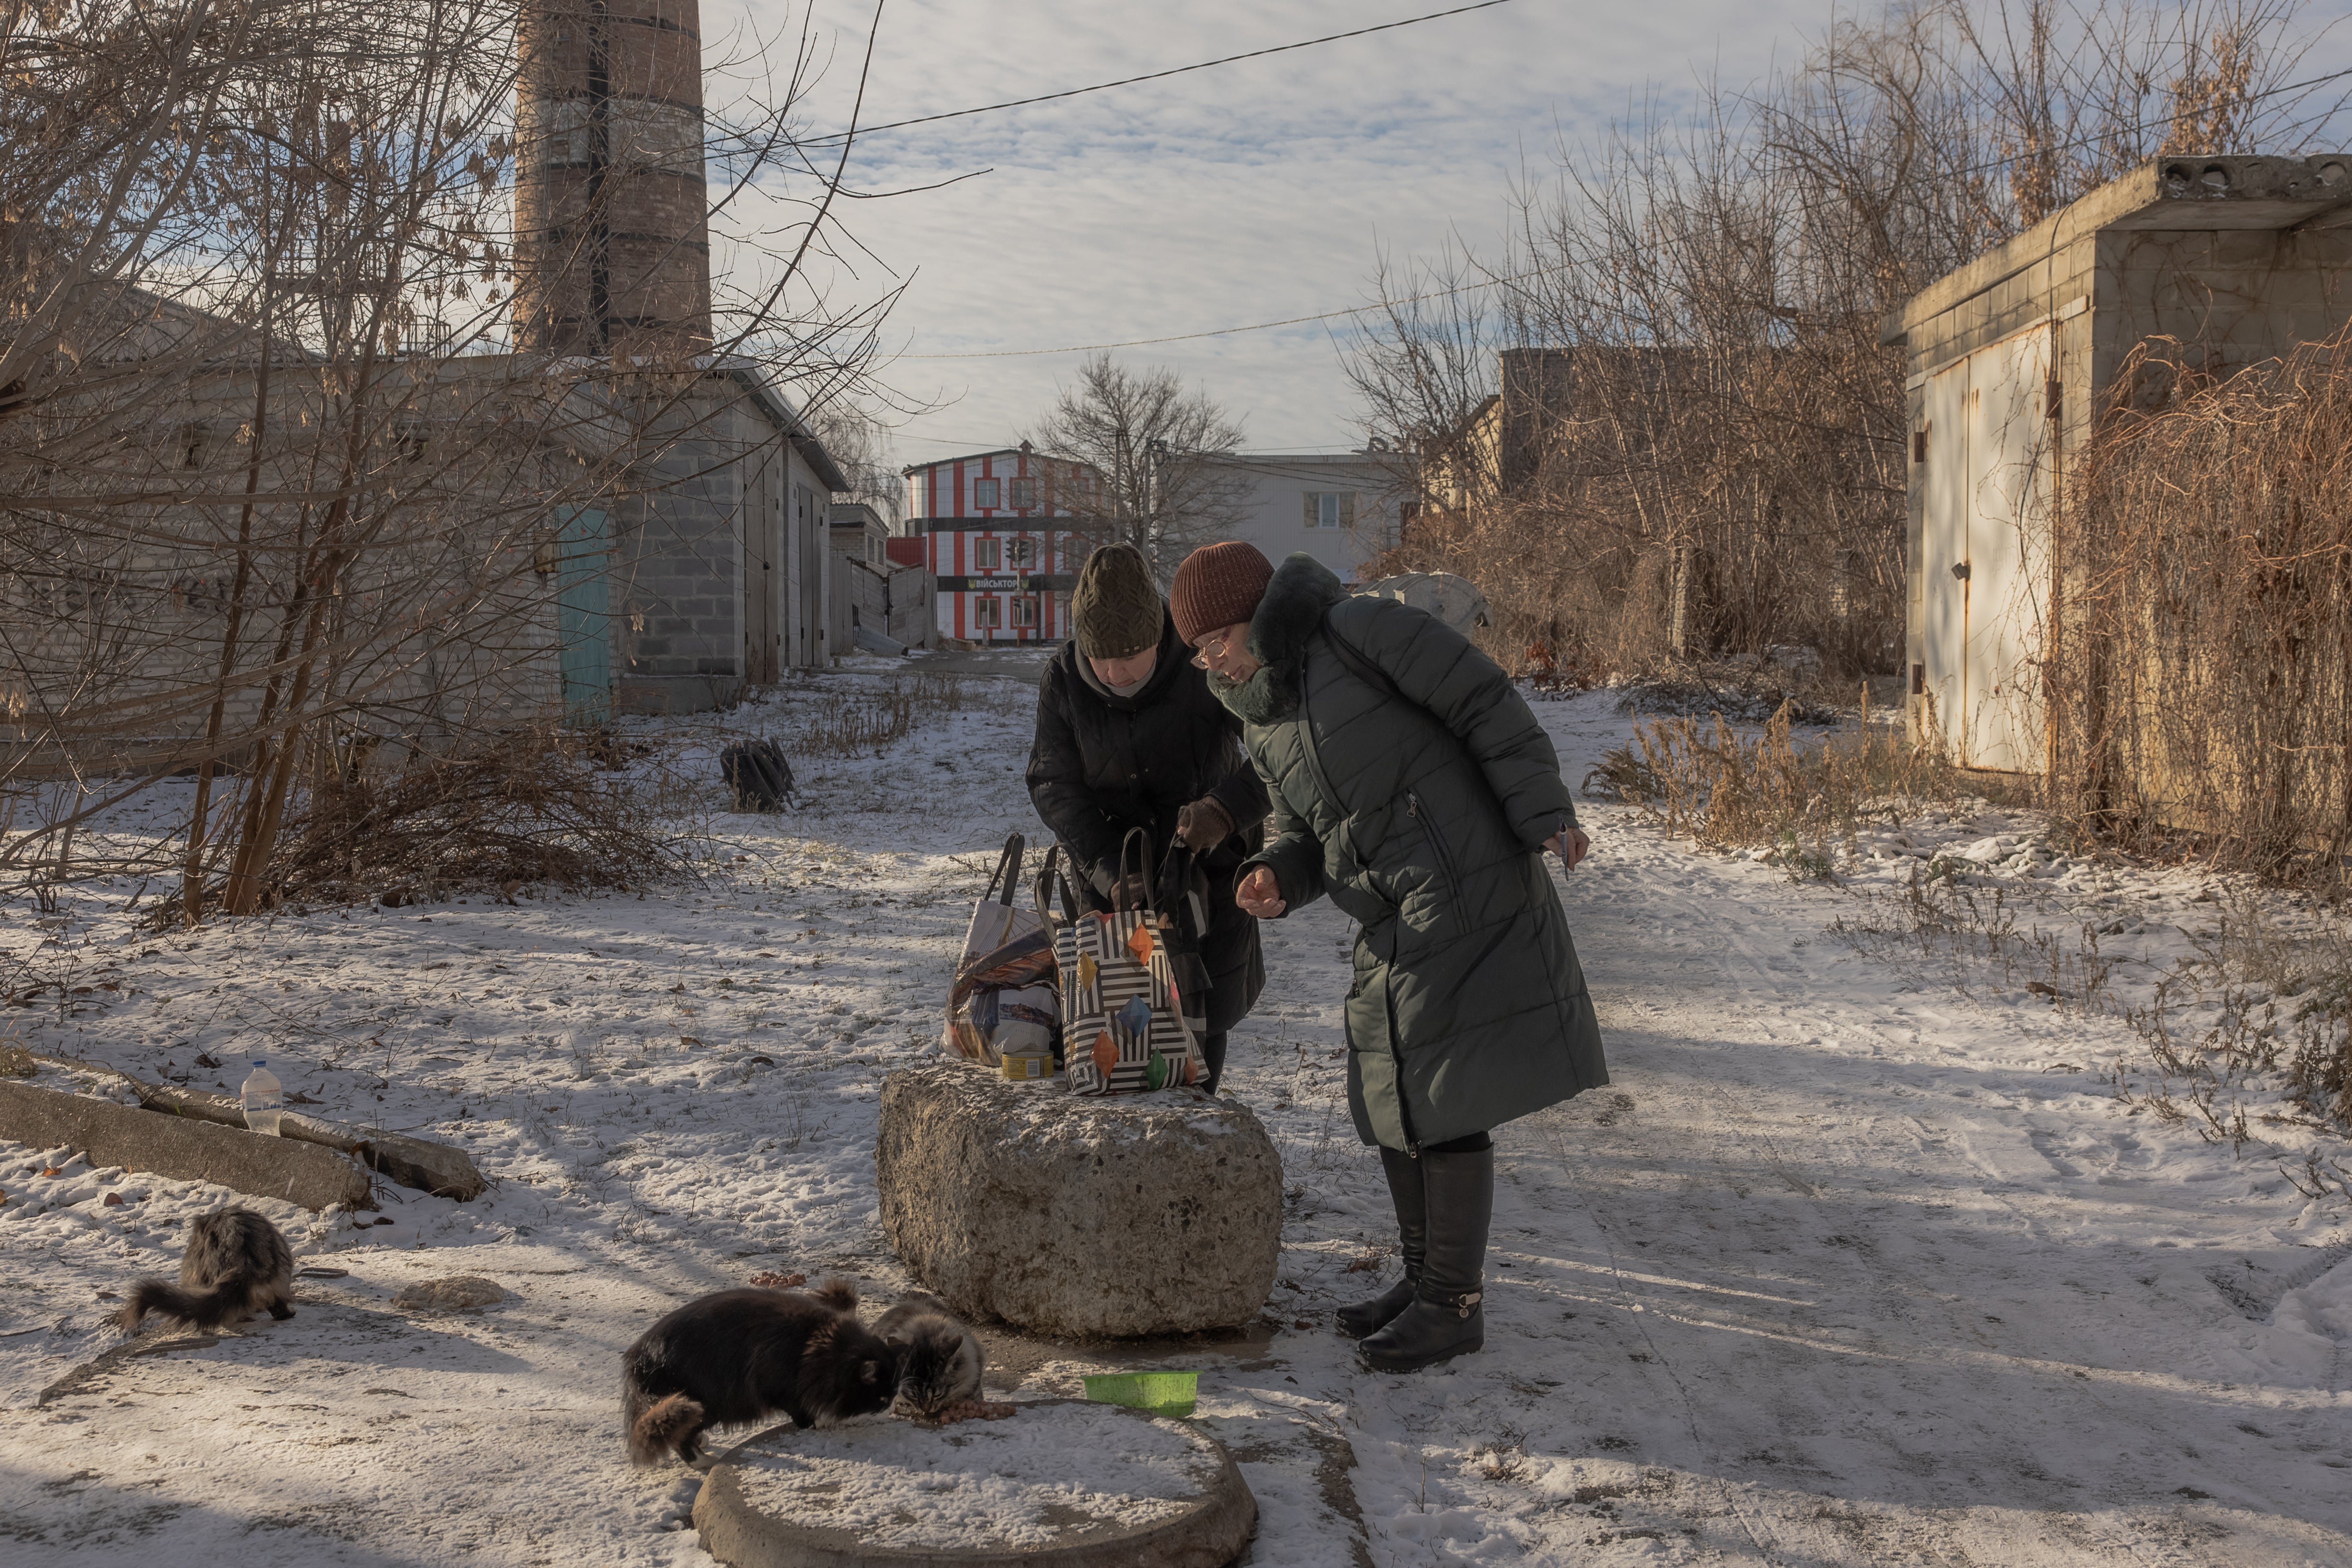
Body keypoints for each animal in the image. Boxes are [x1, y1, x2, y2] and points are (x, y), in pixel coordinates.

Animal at [625, 1279, 898, 1467]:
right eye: (881, 1398)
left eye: (893, 1396)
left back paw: (702, 1443)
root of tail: (638, 1360)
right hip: (699, 1404)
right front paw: (821, 1422)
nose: (891, 1407)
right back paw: (705, 1461)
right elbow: (805, 1415)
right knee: (679, 1439)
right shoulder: (780, 1387)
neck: (813, 1345)